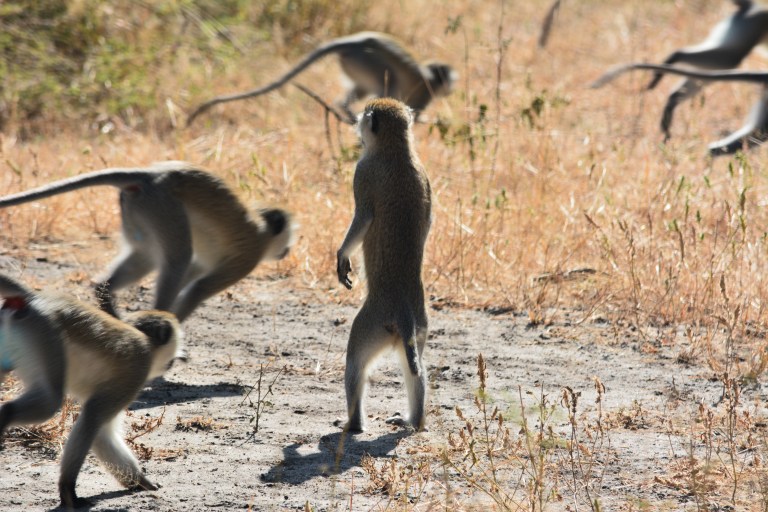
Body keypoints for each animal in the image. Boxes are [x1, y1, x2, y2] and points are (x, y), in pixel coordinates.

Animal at [0, 162, 294, 322]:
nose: (288, 251)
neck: (261, 227)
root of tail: (149, 175)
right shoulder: (249, 257)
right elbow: (198, 289)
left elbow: (191, 277)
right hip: (163, 206)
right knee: (177, 259)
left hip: (138, 209)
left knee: (146, 257)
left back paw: (107, 298)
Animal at [0, 273, 183, 509]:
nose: (173, 361)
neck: (147, 343)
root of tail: (34, 299)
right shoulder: (136, 372)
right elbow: (92, 419)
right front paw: (67, 490)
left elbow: (101, 434)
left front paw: (140, 481)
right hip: (44, 331)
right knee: (50, 401)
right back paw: (6, 415)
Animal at [186, 32, 456, 126]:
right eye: (450, 81)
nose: (453, 88)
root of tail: (355, 41)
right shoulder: (426, 92)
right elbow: (418, 115)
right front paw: (432, 122)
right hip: (366, 59)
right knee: (386, 82)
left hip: (354, 62)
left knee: (356, 92)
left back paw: (345, 112)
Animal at [336, 98, 432, 433]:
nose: (356, 119)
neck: (397, 150)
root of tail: (402, 308)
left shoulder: (362, 172)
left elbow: (362, 217)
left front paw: (342, 257)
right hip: (419, 327)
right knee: (415, 368)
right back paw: (415, 421)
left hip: (371, 323)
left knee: (354, 364)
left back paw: (353, 424)